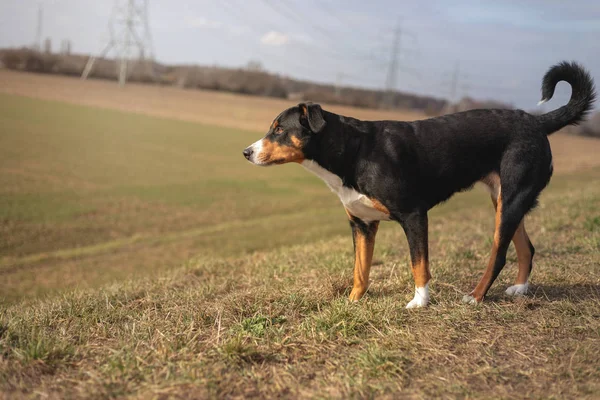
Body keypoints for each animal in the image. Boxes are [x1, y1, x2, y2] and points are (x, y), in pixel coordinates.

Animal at [243, 61, 596, 308]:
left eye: (278, 129)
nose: (246, 152)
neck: (354, 151)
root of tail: (536, 121)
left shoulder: (413, 215)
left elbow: (419, 264)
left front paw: (419, 302)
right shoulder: (362, 224)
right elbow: (361, 269)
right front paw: (353, 301)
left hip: (511, 199)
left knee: (499, 254)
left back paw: (475, 297)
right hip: (505, 200)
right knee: (526, 248)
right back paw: (520, 289)